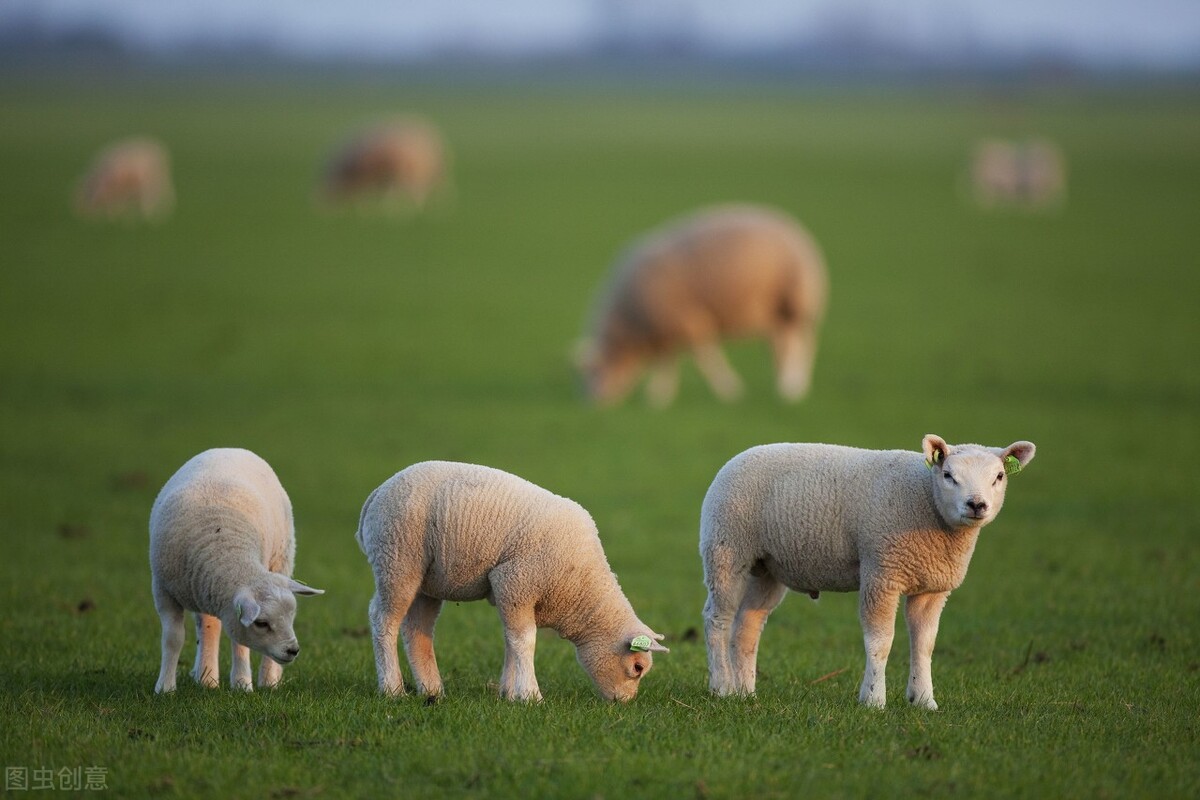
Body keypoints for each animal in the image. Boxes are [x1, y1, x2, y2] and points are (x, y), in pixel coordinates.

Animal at [150, 450, 328, 695]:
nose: (293, 650)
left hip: (281, 559)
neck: (226, 551)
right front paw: (165, 688)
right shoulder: (163, 590)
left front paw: (243, 685)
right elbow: (173, 639)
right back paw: (207, 679)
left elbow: (240, 643)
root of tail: (229, 448)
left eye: (292, 616)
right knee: (209, 626)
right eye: (261, 623)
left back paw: (269, 681)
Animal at [355, 460, 672, 705]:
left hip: (428, 580)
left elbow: (511, 640)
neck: (580, 588)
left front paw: (509, 693)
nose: (624, 702)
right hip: (397, 558)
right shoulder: (515, 581)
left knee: (417, 629)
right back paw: (392, 689)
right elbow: (525, 640)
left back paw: (432, 690)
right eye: (637, 667)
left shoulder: (510, 592)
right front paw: (531, 696)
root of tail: (376, 493)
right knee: (383, 619)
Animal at [576, 203, 830, 410]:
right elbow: (667, 363)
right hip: (777, 312)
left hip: (796, 300)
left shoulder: (687, 321)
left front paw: (730, 390)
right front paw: (659, 397)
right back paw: (784, 385)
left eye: (594, 371)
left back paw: (793, 387)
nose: (592, 404)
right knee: (781, 345)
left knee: (802, 345)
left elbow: (705, 360)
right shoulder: (666, 331)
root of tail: (793, 226)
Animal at [700, 434, 1036, 710]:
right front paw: (874, 700)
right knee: (718, 619)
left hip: (767, 567)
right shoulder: (882, 572)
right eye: (948, 475)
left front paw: (924, 700)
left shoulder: (931, 587)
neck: (926, 499)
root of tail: (735, 460)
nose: (976, 504)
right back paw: (722, 688)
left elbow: (924, 643)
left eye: (999, 476)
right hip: (726, 548)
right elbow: (880, 641)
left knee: (748, 624)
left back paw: (746, 692)